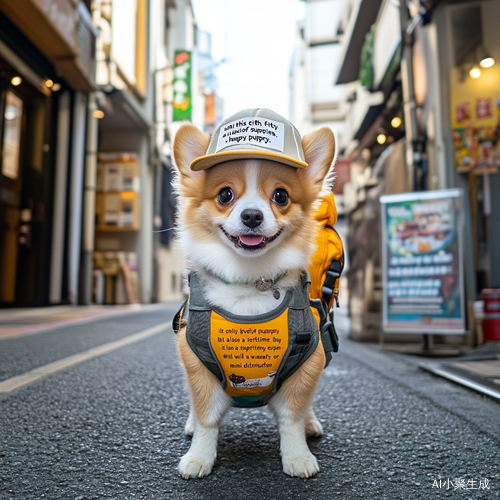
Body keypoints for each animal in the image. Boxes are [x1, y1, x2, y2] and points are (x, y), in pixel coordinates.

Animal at [172, 107, 336, 478]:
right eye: (225, 195)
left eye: (281, 196)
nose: (251, 216)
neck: (249, 283)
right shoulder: (197, 366)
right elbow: (206, 419)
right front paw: (199, 457)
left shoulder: (307, 365)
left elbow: (292, 418)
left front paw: (297, 456)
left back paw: (311, 424)